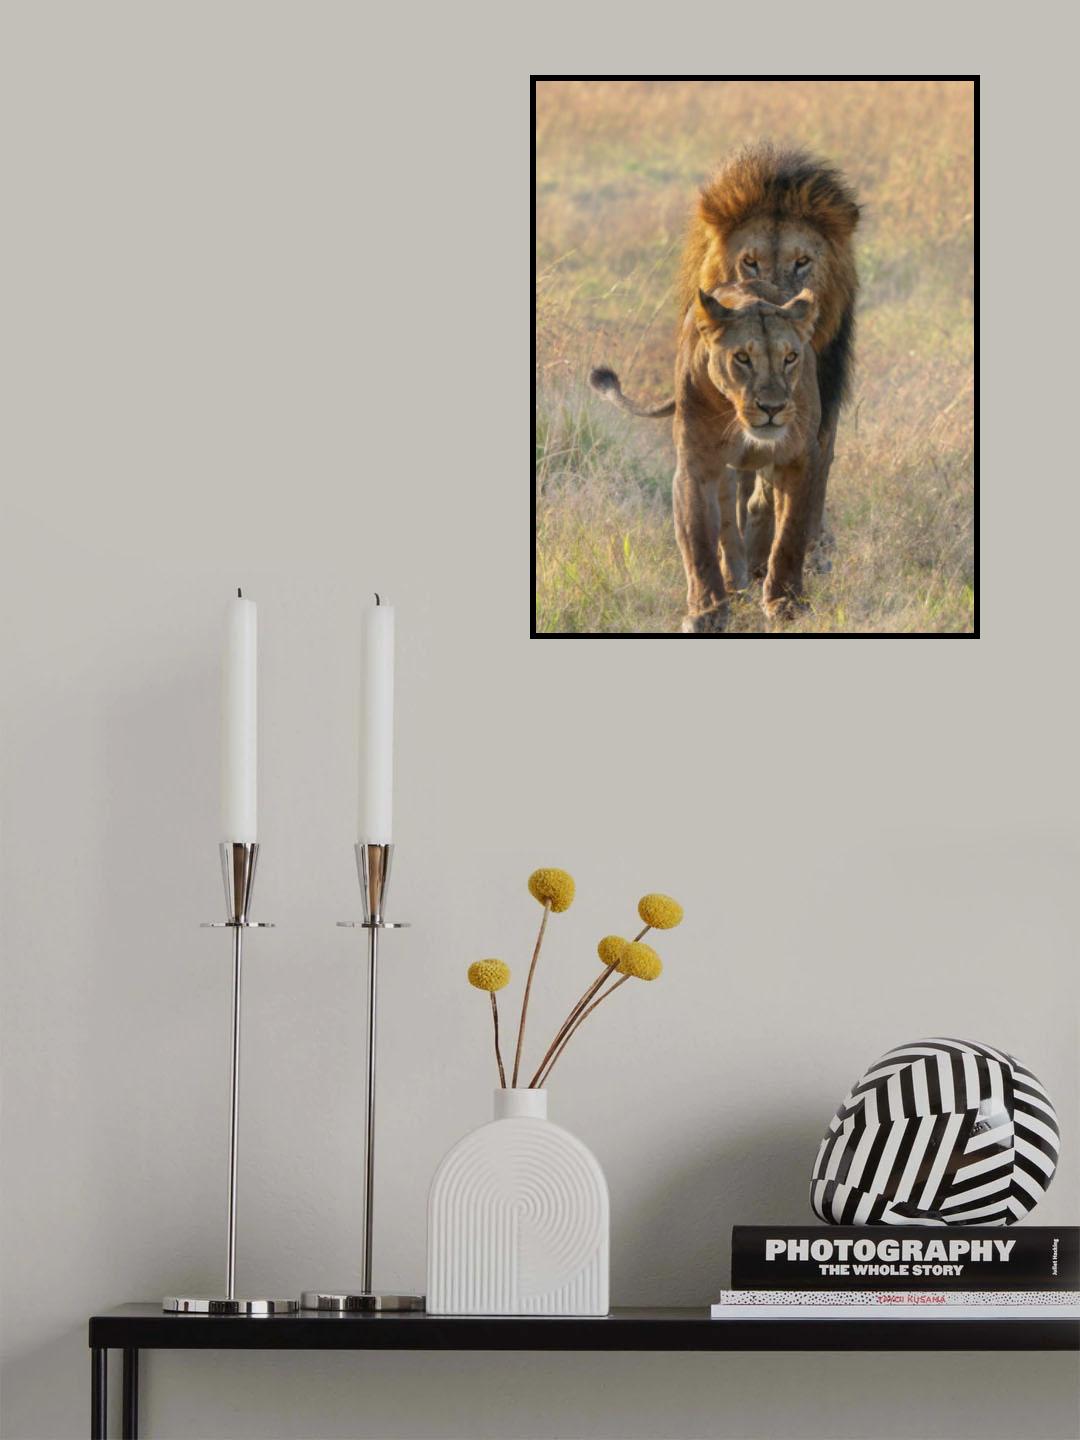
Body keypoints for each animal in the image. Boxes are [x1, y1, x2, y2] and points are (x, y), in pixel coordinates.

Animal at [593, 281, 820, 630]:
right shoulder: (697, 466)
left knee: (759, 505)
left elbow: (789, 536)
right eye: (742, 358)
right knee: (728, 523)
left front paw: (786, 603)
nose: (772, 408)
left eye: (791, 357)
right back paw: (735, 581)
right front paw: (707, 611)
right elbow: (698, 541)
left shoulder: (797, 459)